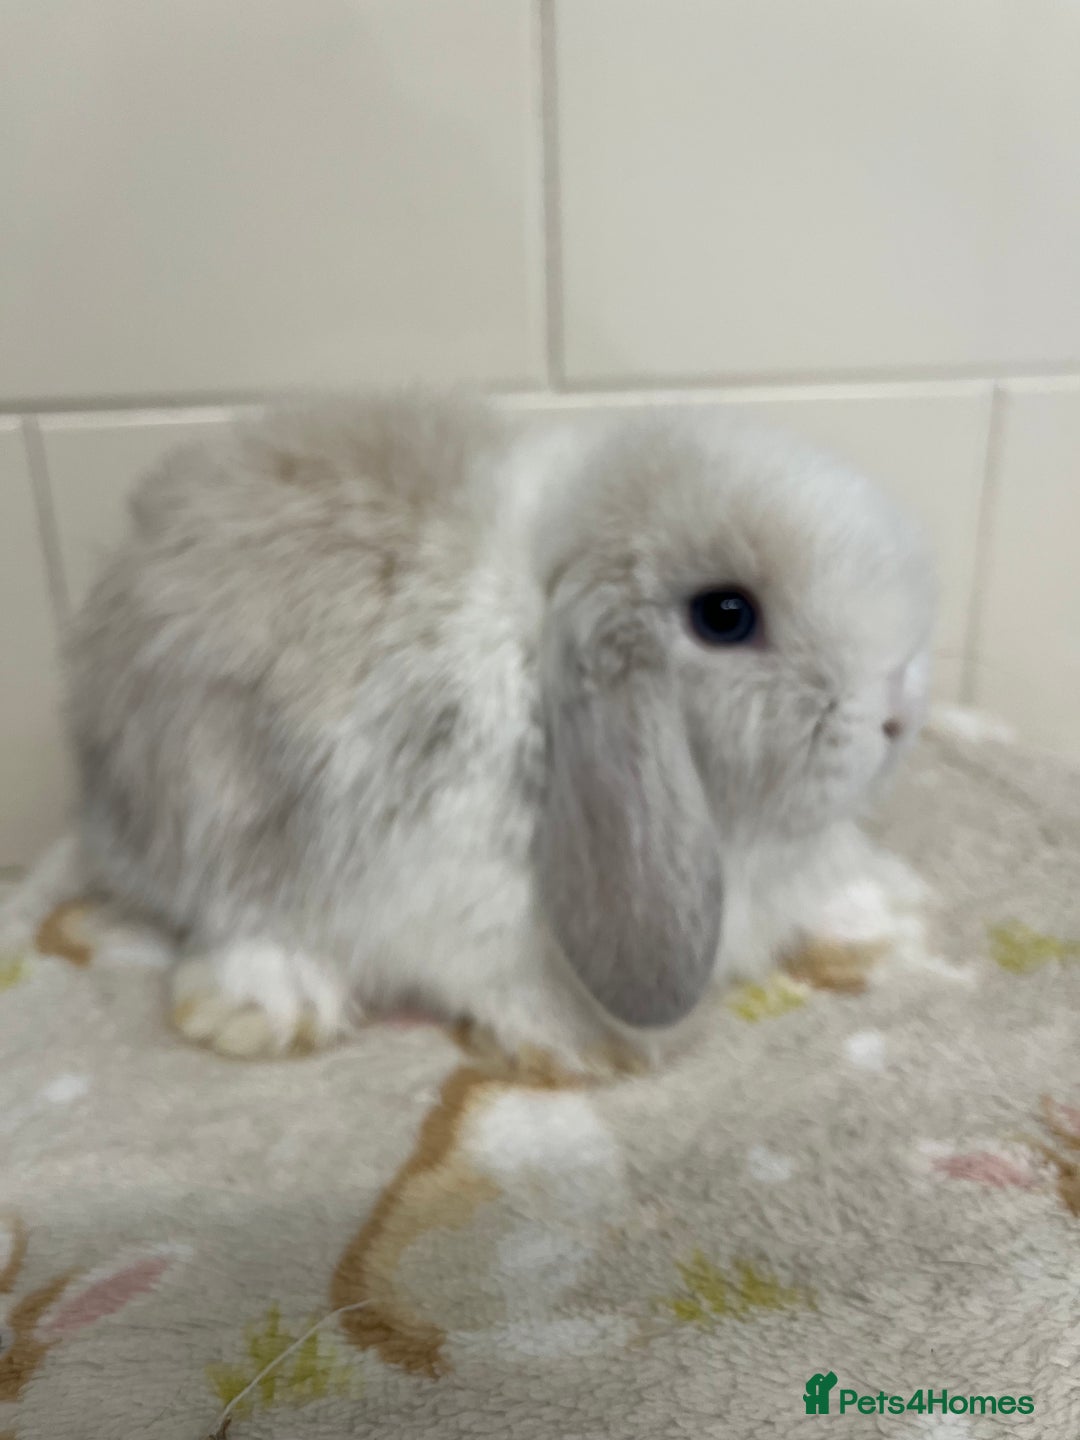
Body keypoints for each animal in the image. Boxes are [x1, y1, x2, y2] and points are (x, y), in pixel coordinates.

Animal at [59, 391, 935, 1076]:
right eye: (725, 616)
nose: (898, 711)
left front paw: (889, 916)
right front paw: (594, 1043)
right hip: (211, 797)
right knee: (235, 910)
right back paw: (268, 1006)